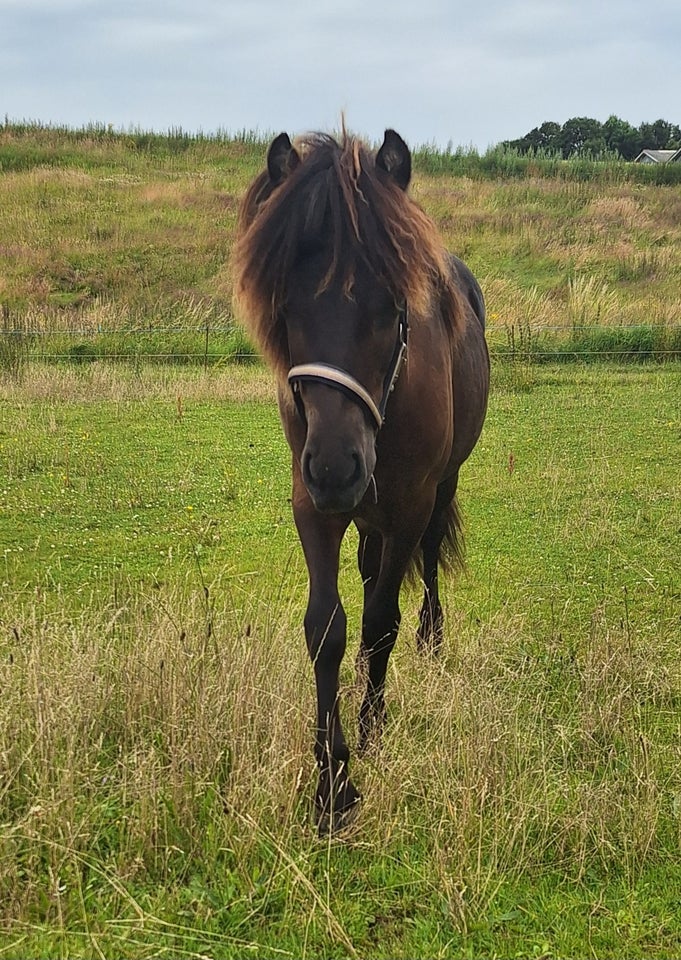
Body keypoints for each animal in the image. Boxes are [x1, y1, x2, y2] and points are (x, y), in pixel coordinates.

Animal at [234, 127, 488, 832]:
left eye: (393, 306)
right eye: (285, 306)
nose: (335, 464)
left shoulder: (407, 505)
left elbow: (380, 625)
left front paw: (371, 732)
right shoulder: (314, 506)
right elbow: (328, 627)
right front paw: (331, 783)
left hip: (437, 489)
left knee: (423, 562)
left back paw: (430, 635)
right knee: (373, 570)